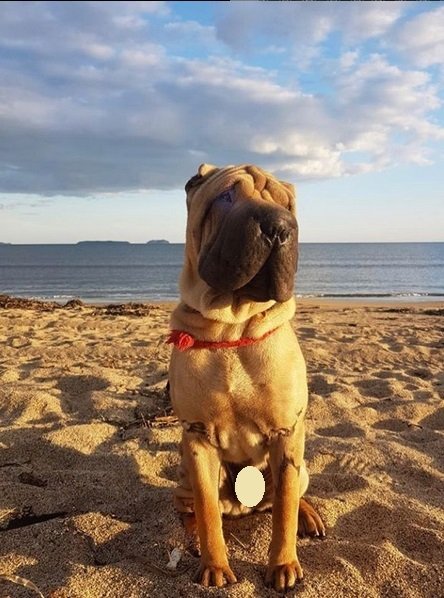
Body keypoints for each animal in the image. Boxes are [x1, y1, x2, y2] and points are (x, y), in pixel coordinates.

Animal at [168, 162, 324, 592]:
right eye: (226, 196)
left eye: (287, 205)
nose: (279, 226)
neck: (232, 328)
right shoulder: (198, 437)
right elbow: (207, 510)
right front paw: (215, 565)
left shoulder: (287, 434)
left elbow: (284, 509)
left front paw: (283, 564)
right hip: (182, 474)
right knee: (190, 509)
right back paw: (190, 539)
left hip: (301, 463)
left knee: (292, 494)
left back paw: (309, 515)